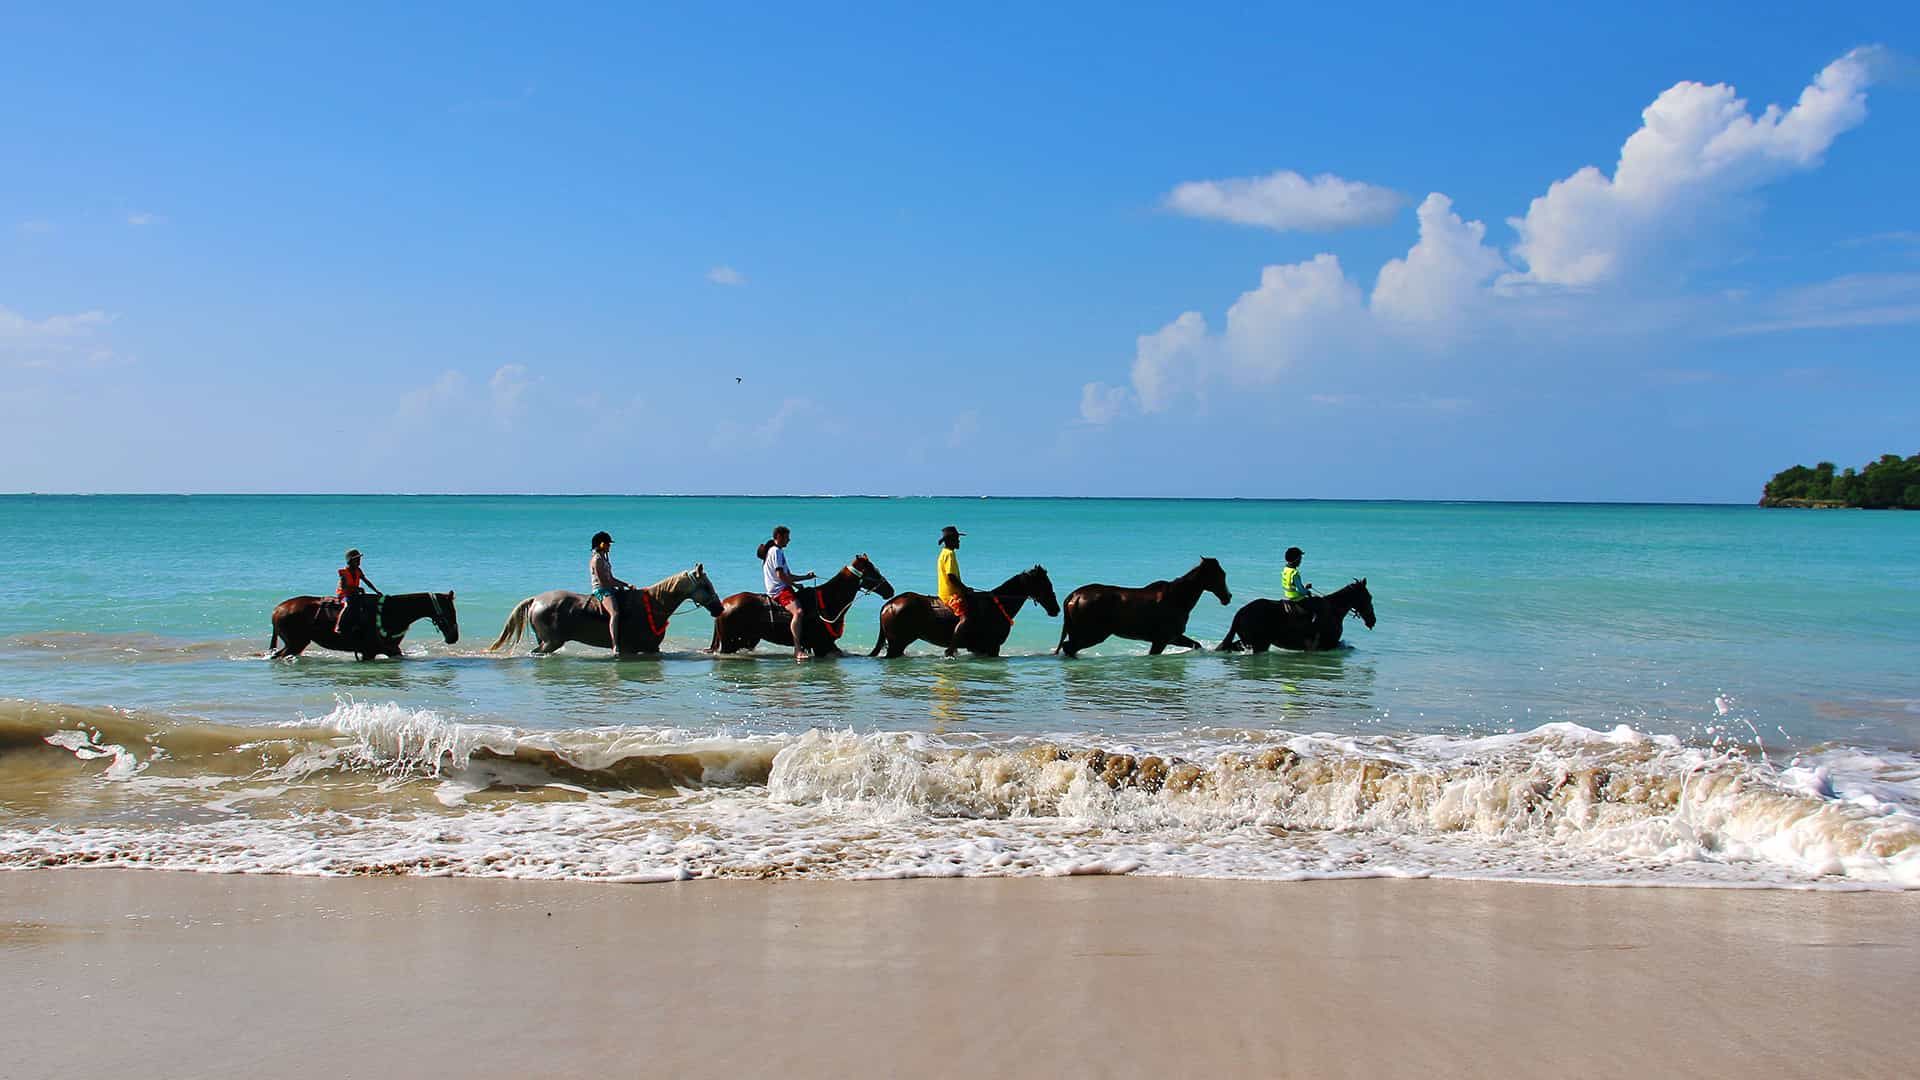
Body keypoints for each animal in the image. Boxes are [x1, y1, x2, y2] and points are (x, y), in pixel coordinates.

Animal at [269, 591, 459, 661]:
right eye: (449, 611)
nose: (454, 637)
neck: (392, 612)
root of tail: (277, 609)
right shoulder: (370, 651)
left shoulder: (391, 649)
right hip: (296, 643)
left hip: (296, 644)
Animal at [709, 555, 894, 656]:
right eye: (872, 570)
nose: (890, 590)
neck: (829, 600)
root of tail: (724, 604)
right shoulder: (821, 646)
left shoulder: (827, 646)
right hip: (729, 644)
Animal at [868, 566, 1061, 658]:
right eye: (1046, 584)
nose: (1056, 609)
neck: (997, 606)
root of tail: (889, 604)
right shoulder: (992, 647)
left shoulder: (981, 649)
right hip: (897, 644)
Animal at [1054, 557, 1231, 658]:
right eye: (1220, 574)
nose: (1227, 597)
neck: (1178, 598)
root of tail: (1074, 596)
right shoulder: (1162, 639)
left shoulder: (1173, 637)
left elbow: (1197, 645)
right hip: (1093, 633)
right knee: (1069, 648)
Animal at [1217, 579, 1376, 653]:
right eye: (1368, 597)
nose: (1372, 620)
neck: (1333, 610)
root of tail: (1240, 613)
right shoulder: (1328, 645)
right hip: (1259, 644)